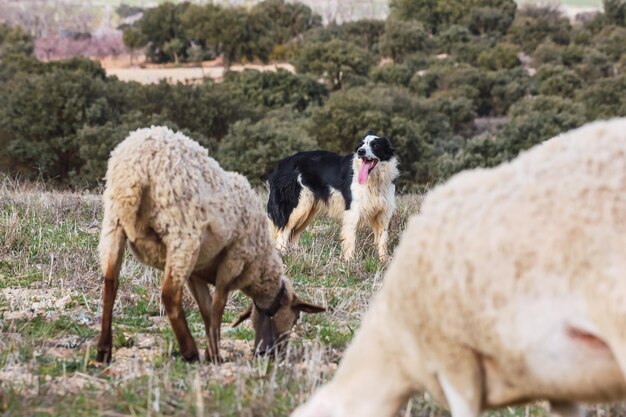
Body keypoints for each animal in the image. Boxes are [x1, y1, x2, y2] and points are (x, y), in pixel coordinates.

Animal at [96, 125, 326, 362]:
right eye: (295, 317)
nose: (271, 354)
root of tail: (137, 164)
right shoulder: (231, 262)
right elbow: (217, 306)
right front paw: (214, 354)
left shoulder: (196, 273)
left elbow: (206, 308)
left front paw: (211, 347)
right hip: (181, 235)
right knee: (169, 295)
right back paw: (189, 351)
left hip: (113, 225)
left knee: (110, 283)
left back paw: (104, 349)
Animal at [266, 131, 398, 260]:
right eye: (362, 144)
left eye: (375, 146)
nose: (360, 151)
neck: (375, 180)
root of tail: (281, 163)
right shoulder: (352, 211)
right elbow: (350, 240)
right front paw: (349, 262)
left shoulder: (383, 214)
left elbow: (382, 240)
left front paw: (383, 261)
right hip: (297, 206)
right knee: (283, 231)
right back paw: (282, 256)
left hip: (308, 211)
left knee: (293, 234)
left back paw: (295, 256)